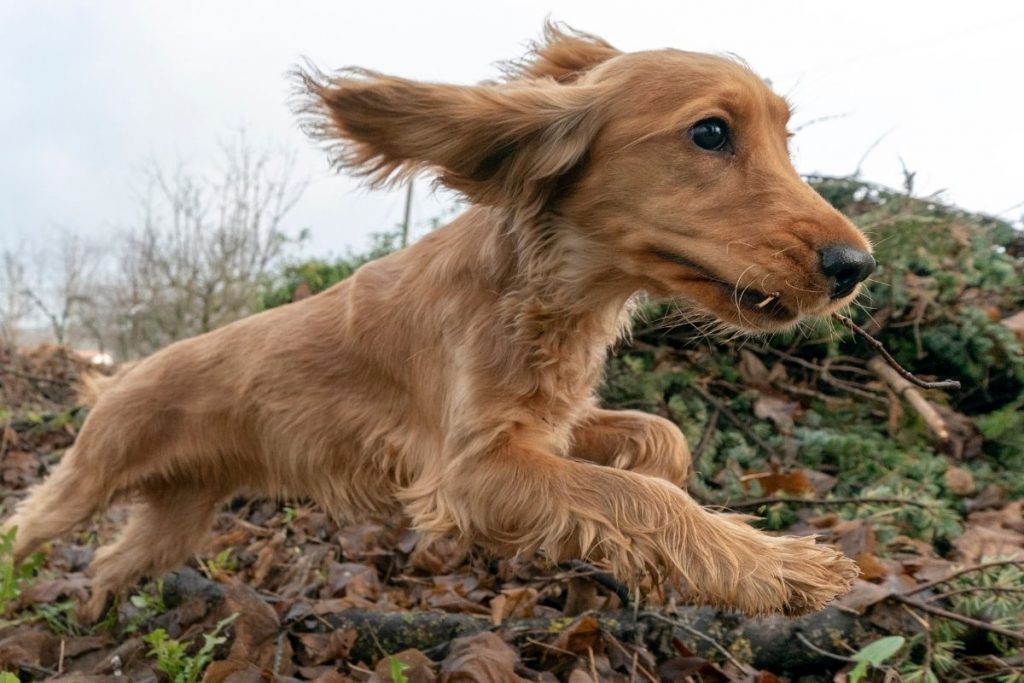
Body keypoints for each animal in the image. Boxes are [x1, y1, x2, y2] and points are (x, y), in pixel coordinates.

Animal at [6, 24, 872, 618]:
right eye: (710, 132)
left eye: (785, 136)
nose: (855, 267)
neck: (544, 291)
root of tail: (121, 374)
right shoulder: (468, 472)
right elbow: (642, 499)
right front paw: (780, 566)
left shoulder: (547, 427)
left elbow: (660, 440)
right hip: (87, 480)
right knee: (27, 525)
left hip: (179, 517)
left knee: (108, 562)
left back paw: (93, 612)